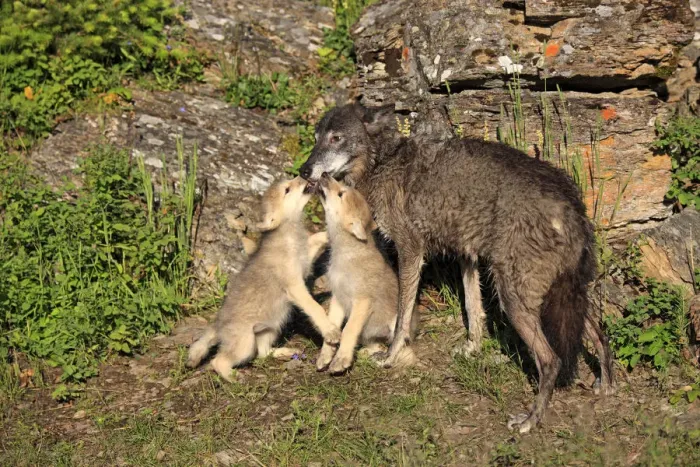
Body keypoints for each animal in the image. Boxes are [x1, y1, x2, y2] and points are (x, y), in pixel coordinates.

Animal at [186, 176, 341, 381]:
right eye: (287, 189)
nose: (302, 175)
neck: (290, 236)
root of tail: (218, 324)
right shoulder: (294, 286)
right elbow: (315, 308)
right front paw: (330, 331)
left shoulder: (305, 260)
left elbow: (317, 237)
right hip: (245, 344)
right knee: (218, 361)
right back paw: (234, 378)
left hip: (270, 329)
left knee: (263, 353)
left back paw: (284, 352)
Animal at [314, 174, 419, 374]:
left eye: (341, 193)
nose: (324, 174)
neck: (347, 256)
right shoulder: (338, 299)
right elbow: (333, 328)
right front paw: (325, 356)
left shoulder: (362, 301)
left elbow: (348, 330)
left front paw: (340, 361)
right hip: (368, 333)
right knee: (374, 344)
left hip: (395, 325)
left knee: (402, 348)